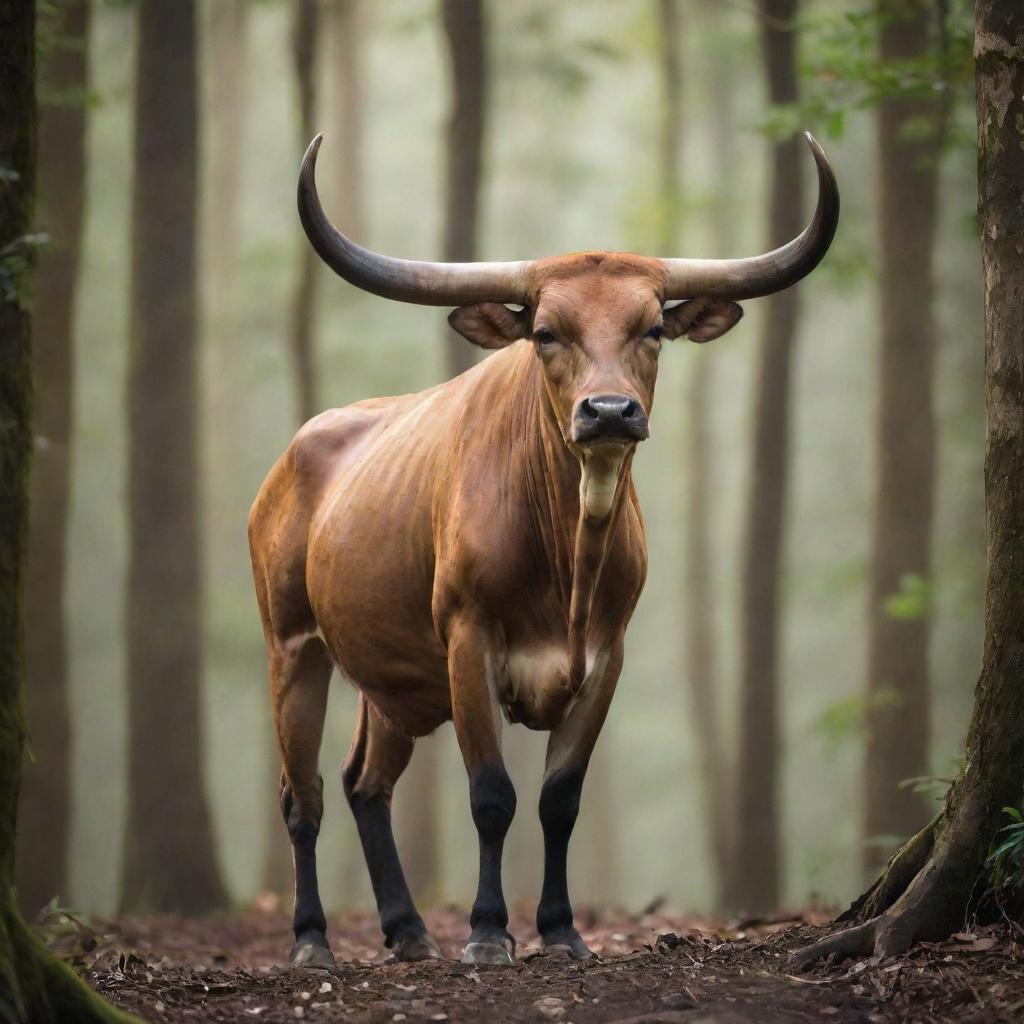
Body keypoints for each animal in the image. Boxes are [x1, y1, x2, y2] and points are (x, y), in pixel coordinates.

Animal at [249, 132, 839, 962]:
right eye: (545, 332)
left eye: (652, 328)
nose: (610, 411)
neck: (568, 562)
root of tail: (294, 455)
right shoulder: (469, 642)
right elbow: (492, 795)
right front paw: (489, 931)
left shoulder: (604, 657)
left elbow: (560, 799)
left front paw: (560, 931)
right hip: (294, 646)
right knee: (301, 793)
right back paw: (311, 938)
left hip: (391, 678)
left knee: (365, 782)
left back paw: (408, 931)